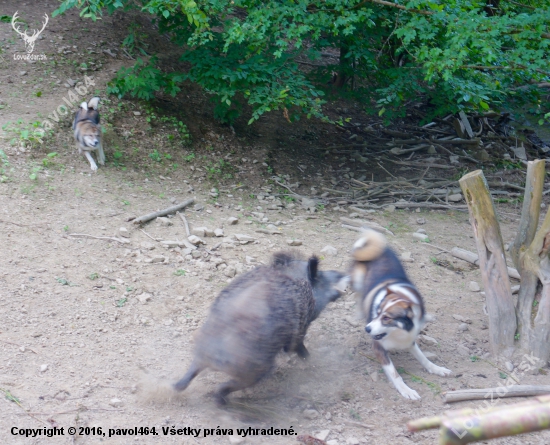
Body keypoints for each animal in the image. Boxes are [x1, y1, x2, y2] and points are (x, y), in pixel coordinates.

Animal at [354, 231, 452, 400]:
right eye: (377, 313)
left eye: (387, 318)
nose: (367, 329)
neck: (397, 333)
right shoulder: (378, 347)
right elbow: (394, 373)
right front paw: (406, 390)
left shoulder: (410, 340)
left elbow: (423, 358)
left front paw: (437, 369)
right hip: (358, 280)